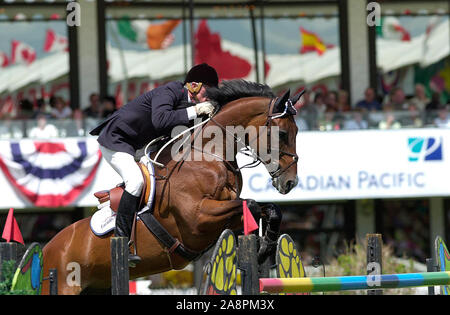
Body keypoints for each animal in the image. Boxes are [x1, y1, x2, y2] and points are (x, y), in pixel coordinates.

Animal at [40, 80, 300, 296]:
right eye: (282, 133)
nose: (290, 183)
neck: (208, 155)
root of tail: (46, 250)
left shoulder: (225, 212)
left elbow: (271, 209)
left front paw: (265, 247)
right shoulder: (198, 218)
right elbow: (253, 204)